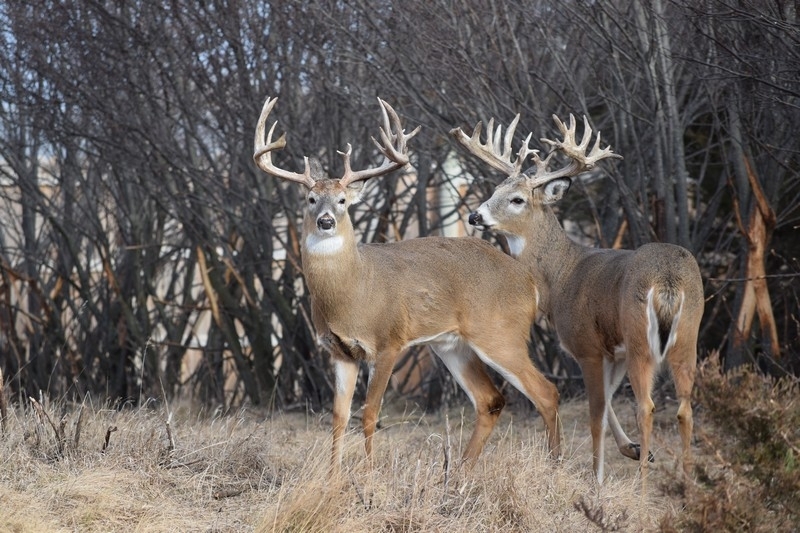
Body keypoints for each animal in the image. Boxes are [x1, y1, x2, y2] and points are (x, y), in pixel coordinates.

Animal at [252, 95, 564, 470]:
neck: (354, 290)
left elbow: (369, 414)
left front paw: (370, 473)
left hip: (501, 333)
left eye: (342, 201)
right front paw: (332, 476)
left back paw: (555, 464)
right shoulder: (339, 351)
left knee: (546, 392)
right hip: (451, 344)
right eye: (311, 200)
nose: (326, 221)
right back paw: (461, 471)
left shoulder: (389, 342)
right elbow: (338, 417)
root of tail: (528, 280)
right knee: (490, 400)